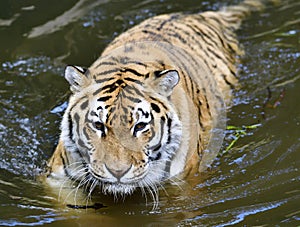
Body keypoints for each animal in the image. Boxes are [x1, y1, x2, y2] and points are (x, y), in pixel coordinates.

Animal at [45, 0, 278, 206]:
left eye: (140, 126)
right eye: (98, 125)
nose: (118, 172)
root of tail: (198, 15)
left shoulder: (182, 183)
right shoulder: (57, 178)